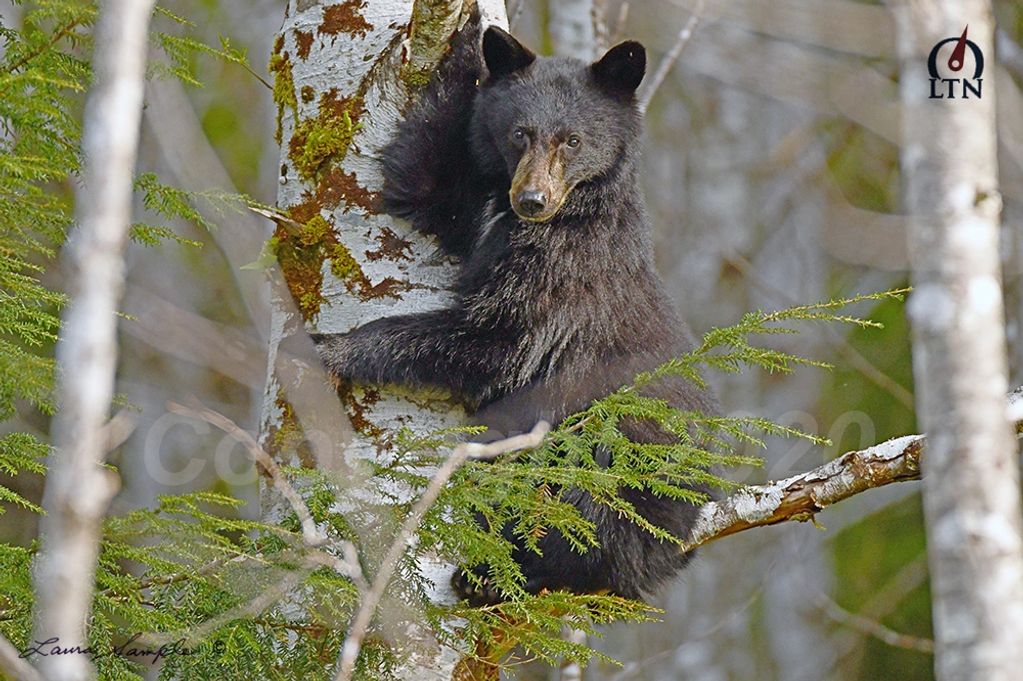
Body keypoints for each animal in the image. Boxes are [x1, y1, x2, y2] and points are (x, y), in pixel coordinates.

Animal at [312, 15, 718, 604]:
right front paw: (465, 43)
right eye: (519, 133)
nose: (532, 200)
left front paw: (327, 346)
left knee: (581, 522)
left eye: (573, 139)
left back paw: (491, 576)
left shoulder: (565, 276)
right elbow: (423, 187)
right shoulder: (477, 209)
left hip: (617, 467)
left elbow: (500, 341)